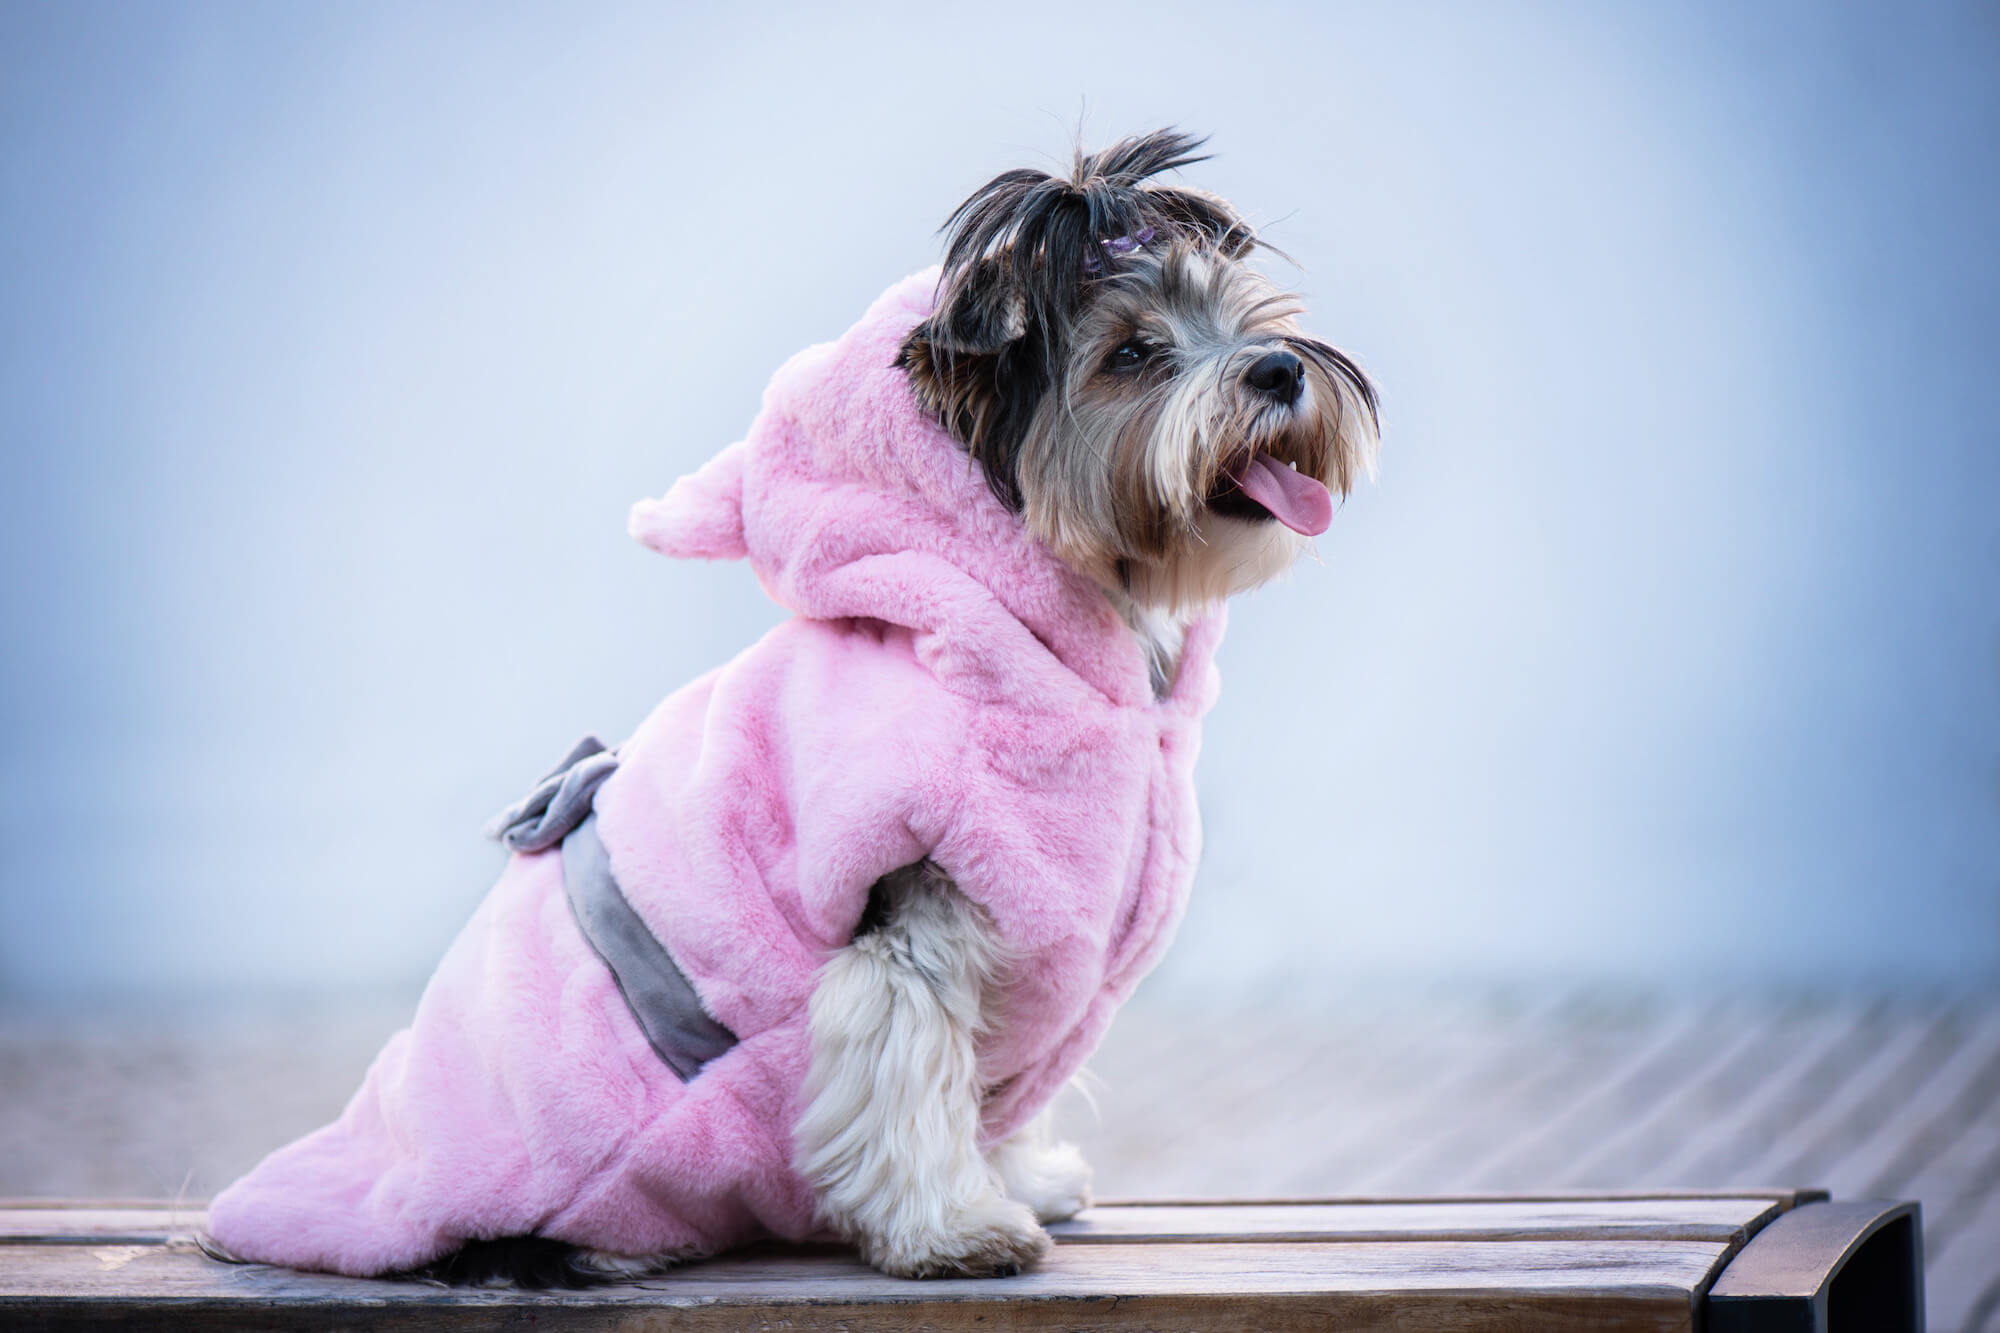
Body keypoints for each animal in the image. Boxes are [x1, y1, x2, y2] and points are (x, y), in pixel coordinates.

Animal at [203, 130, 1376, 1280]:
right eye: (1129, 354)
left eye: (1254, 316)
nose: (1279, 366)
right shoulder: (909, 911)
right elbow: (911, 1065)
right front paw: (954, 1226)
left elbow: (986, 1089)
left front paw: (1019, 1177)